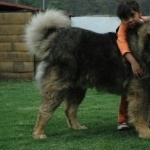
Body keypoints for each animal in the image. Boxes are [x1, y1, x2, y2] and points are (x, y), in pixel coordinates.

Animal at [24, 9, 150, 138]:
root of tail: (54, 40)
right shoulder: (139, 91)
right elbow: (141, 114)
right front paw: (145, 132)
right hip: (57, 88)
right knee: (45, 110)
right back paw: (39, 134)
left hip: (77, 89)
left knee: (70, 110)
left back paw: (77, 127)